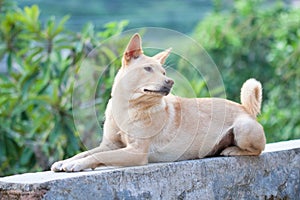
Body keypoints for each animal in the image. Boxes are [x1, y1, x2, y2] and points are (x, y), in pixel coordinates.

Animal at [51, 33, 264, 172]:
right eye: (147, 69)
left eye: (164, 72)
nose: (170, 81)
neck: (128, 107)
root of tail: (245, 108)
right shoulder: (110, 145)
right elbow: (87, 152)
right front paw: (66, 161)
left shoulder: (136, 152)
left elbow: (99, 156)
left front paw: (76, 164)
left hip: (243, 129)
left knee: (258, 150)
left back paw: (232, 150)